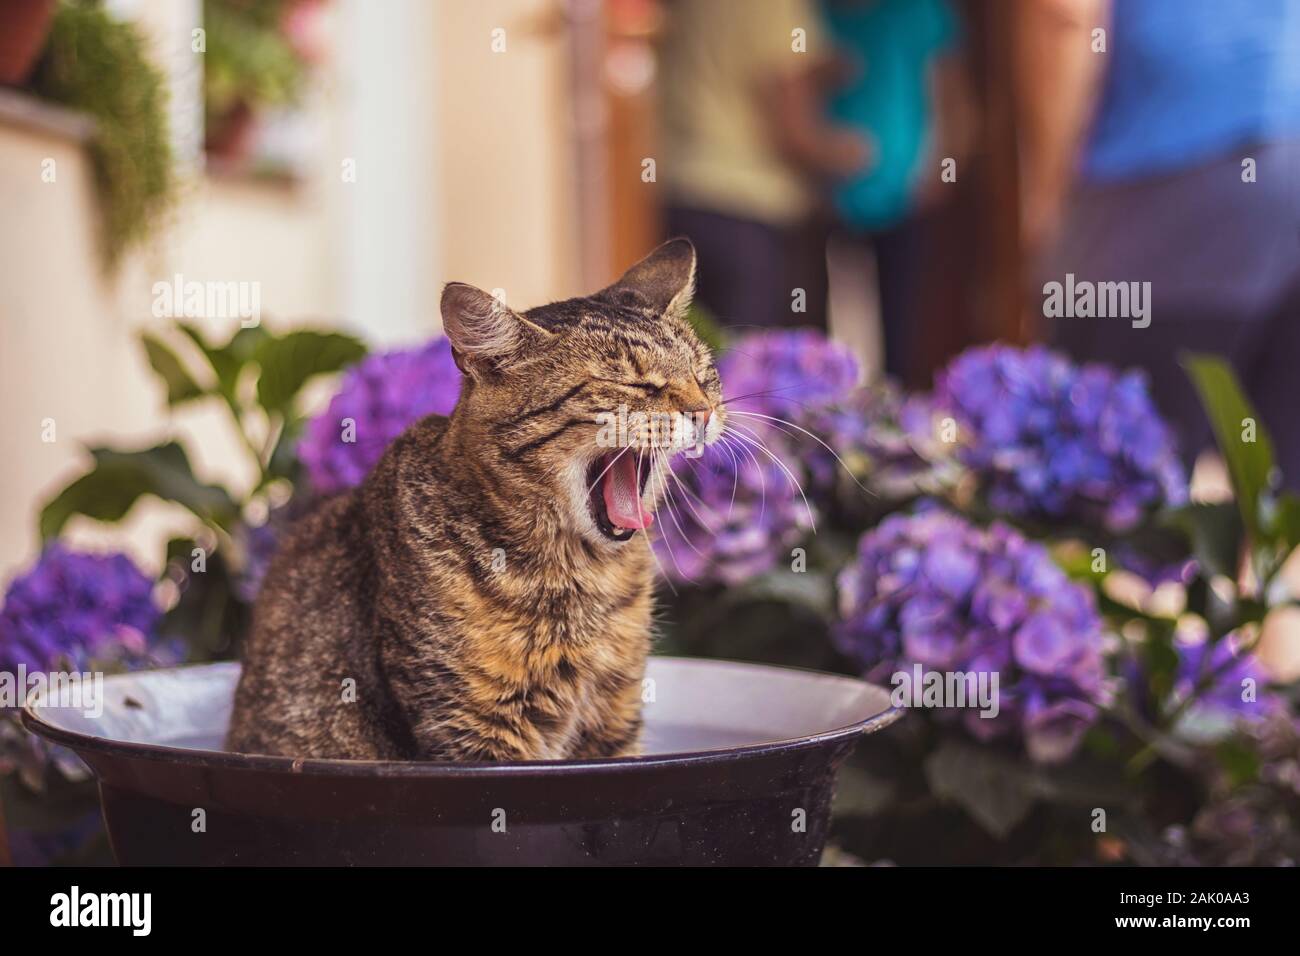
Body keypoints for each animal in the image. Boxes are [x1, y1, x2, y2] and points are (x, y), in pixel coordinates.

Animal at [227, 239, 728, 764]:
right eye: (635, 384)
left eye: (703, 374)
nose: (703, 411)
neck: (582, 574)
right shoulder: (472, 726)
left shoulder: (614, 718)